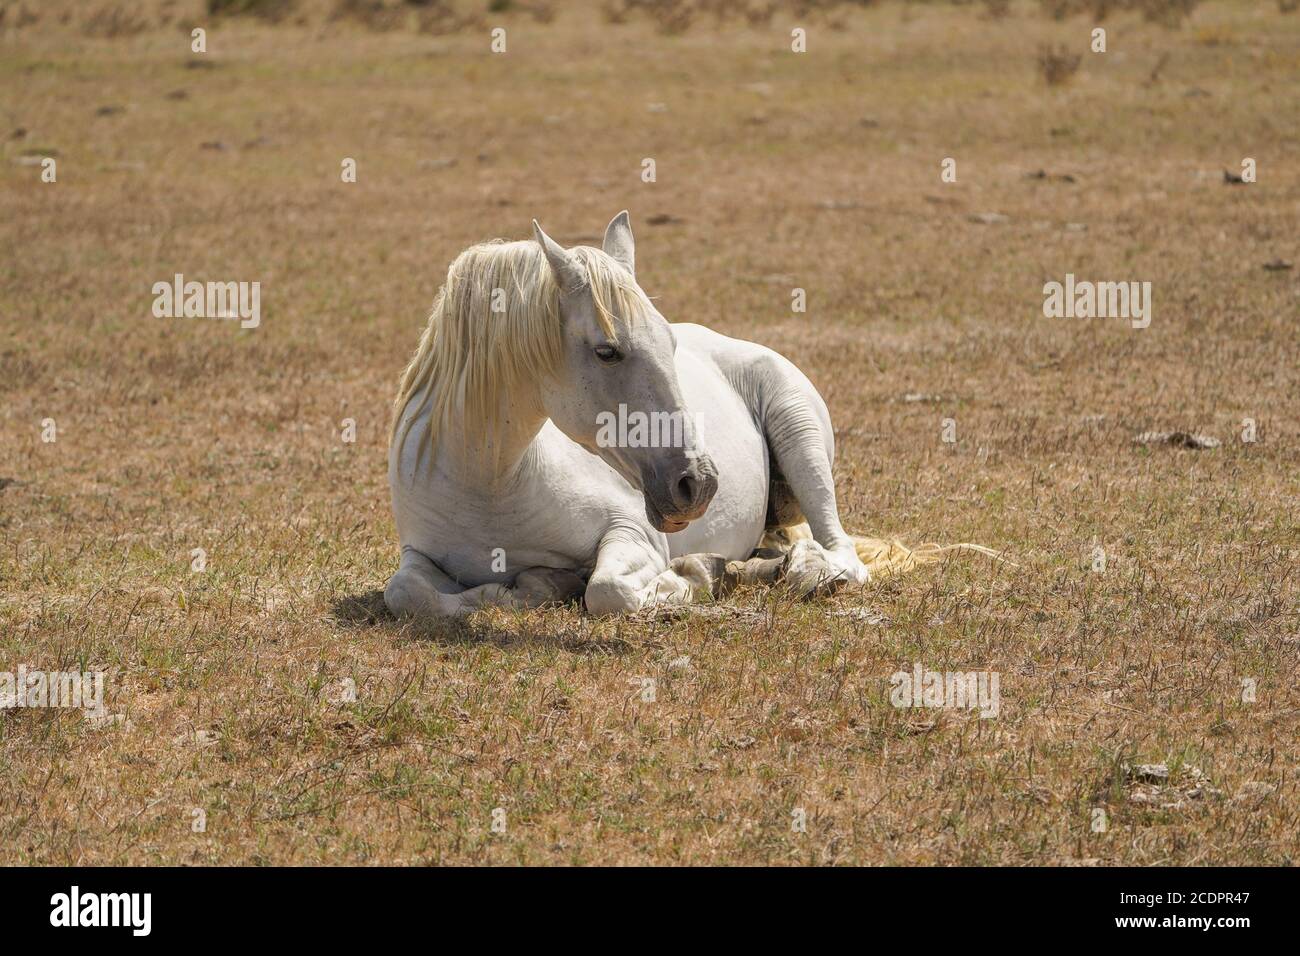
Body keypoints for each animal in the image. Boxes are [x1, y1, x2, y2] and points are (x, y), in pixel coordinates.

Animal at [385, 211, 971, 618]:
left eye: (668, 343)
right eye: (607, 351)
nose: (699, 483)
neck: (492, 481)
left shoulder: (633, 533)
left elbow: (608, 591)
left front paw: (687, 578)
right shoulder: (417, 554)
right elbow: (406, 591)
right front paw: (532, 587)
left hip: (798, 429)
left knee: (840, 552)